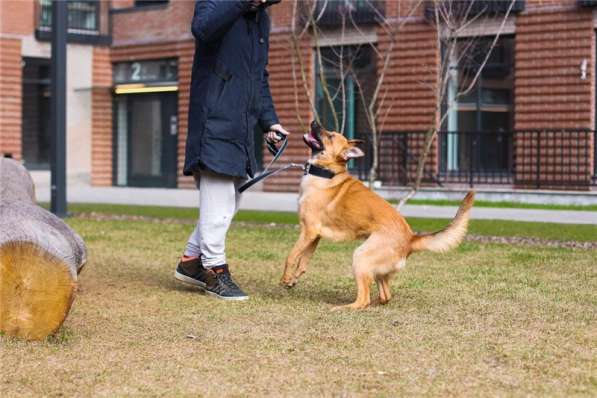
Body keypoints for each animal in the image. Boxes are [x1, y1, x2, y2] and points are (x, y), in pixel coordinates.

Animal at [280, 122, 474, 310]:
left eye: (331, 136)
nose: (314, 122)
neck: (327, 173)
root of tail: (411, 238)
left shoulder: (309, 231)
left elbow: (291, 255)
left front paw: (285, 279)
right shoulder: (314, 235)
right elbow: (303, 261)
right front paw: (292, 280)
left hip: (360, 257)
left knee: (363, 299)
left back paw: (343, 307)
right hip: (376, 268)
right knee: (385, 296)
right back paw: (374, 303)